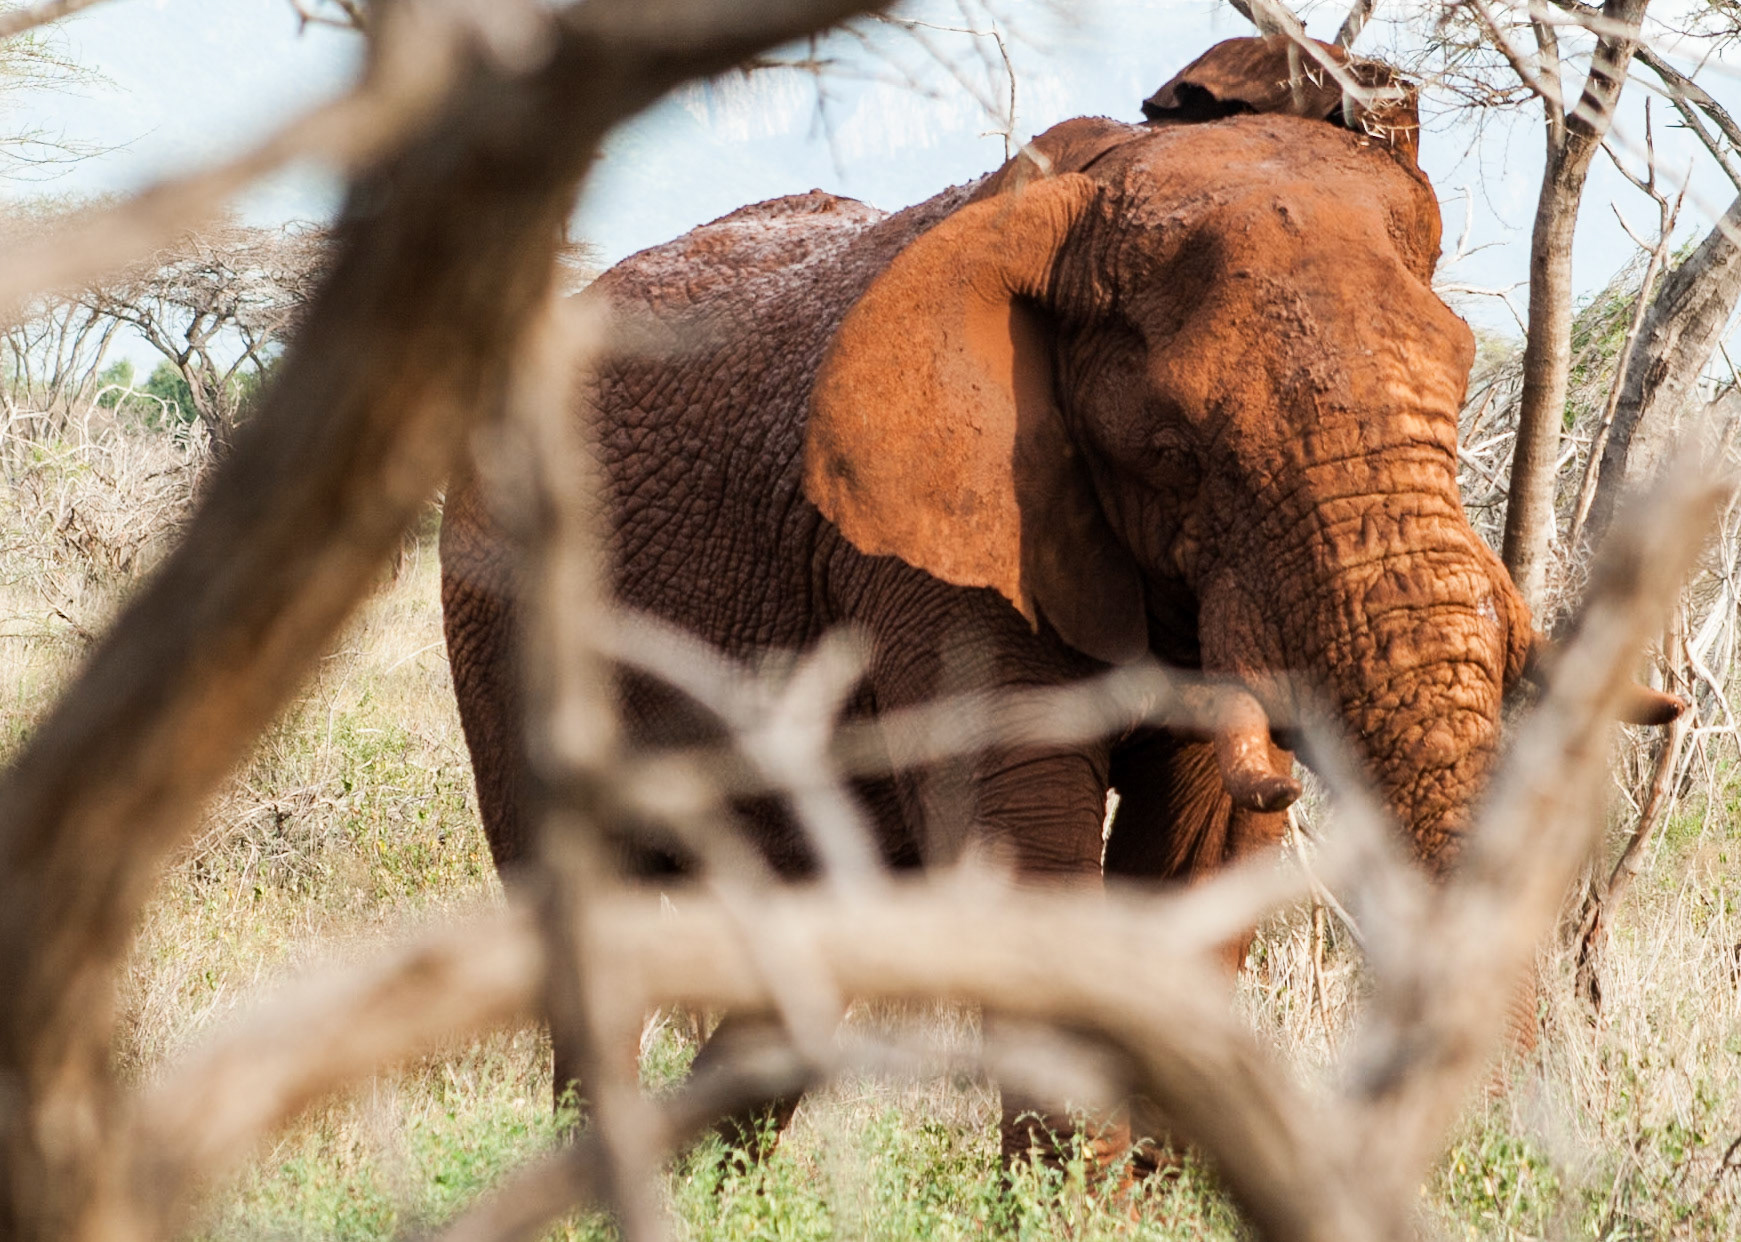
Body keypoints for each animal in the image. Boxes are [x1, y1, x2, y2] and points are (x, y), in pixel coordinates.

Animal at [439, 36, 1682, 1167]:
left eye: (1461, 380)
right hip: (499, 598)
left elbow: (1198, 845)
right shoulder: (940, 552)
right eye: (1177, 452)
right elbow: (1028, 844)